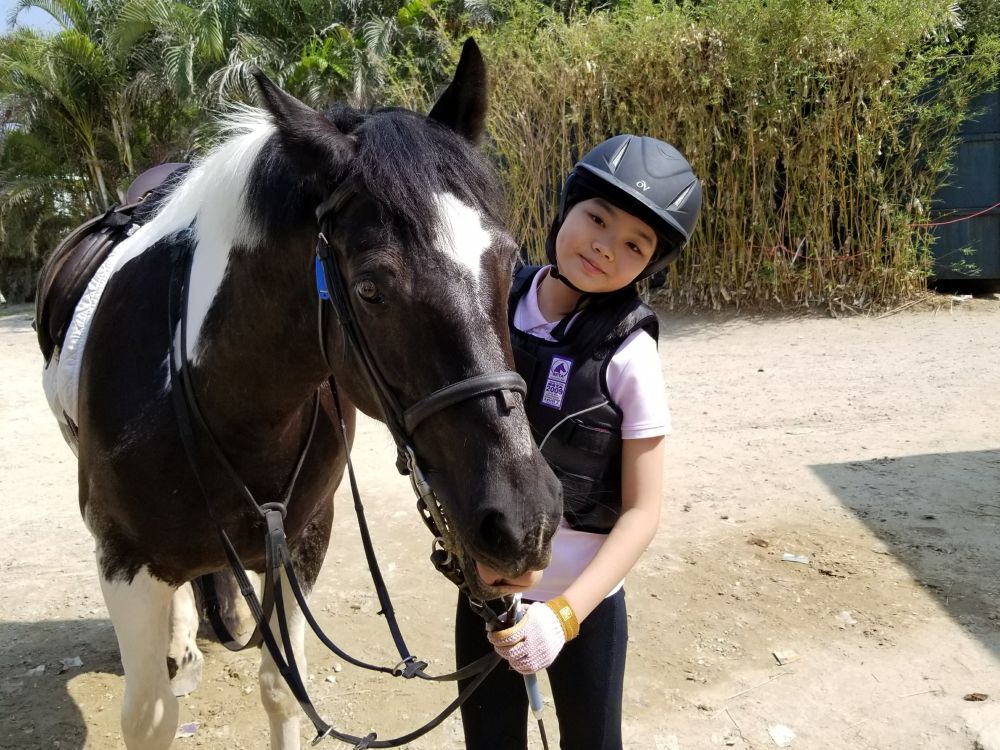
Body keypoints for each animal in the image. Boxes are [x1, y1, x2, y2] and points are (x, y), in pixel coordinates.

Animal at [35, 39, 562, 749]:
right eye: (369, 289)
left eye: (508, 262)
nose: (525, 518)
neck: (230, 409)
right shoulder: (122, 561)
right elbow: (149, 718)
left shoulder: (302, 540)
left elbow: (284, 693)